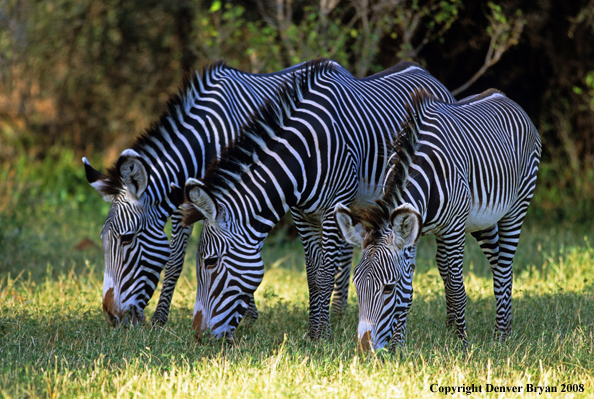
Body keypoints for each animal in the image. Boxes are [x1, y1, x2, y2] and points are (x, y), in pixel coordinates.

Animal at [81, 60, 346, 328]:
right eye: (102, 237)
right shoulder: (185, 203)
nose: (113, 317)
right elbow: (180, 259)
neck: (203, 142)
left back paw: (338, 312)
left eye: (127, 238)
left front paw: (246, 316)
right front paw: (161, 320)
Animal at [178, 61, 450, 342]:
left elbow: (325, 274)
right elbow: (312, 275)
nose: (198, 335)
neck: (305, 155)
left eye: (210, 261)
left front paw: (323, 337)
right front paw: (312, 332)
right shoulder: (302, 215)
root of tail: (424, 72)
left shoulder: (331, 211)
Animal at [332, 89, 540, 352]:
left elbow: (456, 288)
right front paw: (398, 346)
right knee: (496, 265)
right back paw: (502, 329)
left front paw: (462, 343)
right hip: (484, 221)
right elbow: (407, 293)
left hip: (517, 207)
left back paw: (500, 336)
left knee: (503, 268)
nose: (364, 348)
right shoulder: (411, 234)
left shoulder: (454, 229)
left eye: (388, 287)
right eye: (357, 285)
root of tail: (503, 96)